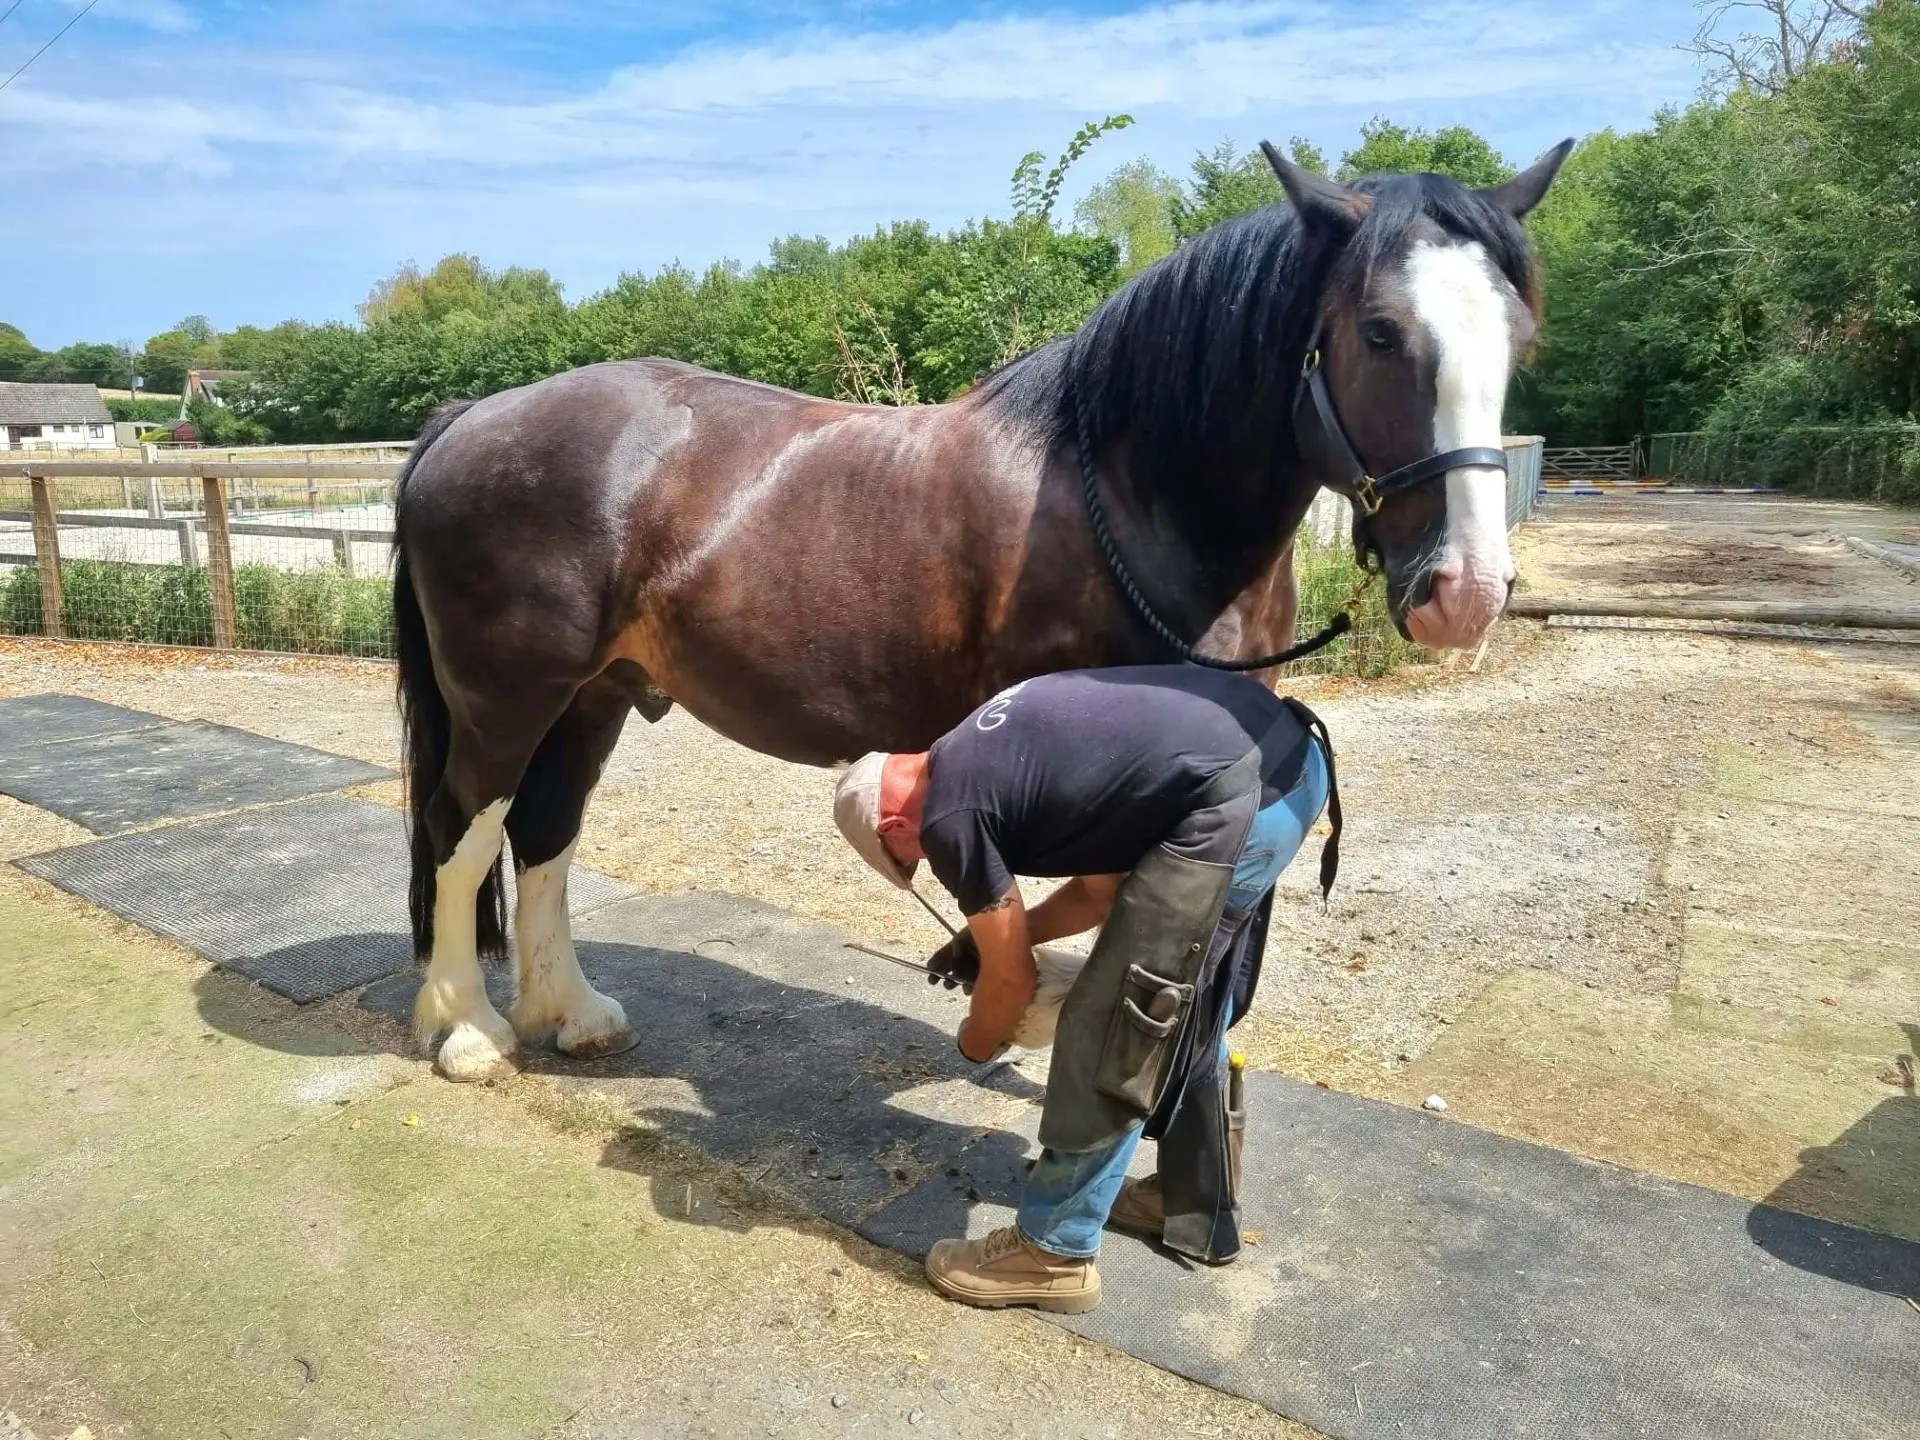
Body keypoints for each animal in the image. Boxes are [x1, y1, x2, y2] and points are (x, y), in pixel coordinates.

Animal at [391, 139, 1571, 1082]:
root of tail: (471, 416)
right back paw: (468, 1032)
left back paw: (571, 1014)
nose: (1467, 590)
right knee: (462, 832)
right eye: (1379, 331)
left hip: (591, 698)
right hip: (505, 700)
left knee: (543, 833)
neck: (1133, 486)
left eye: (1520, 337)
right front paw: (1025, 1011)